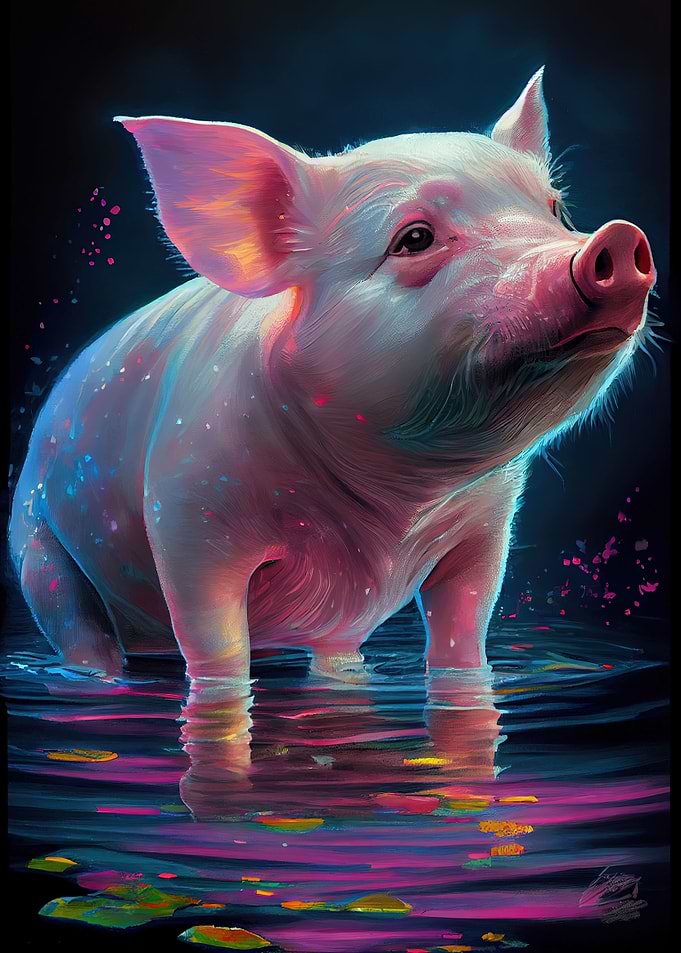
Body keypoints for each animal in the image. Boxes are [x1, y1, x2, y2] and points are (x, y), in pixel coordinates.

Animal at [9, 69, 656, 691]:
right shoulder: (185, 511)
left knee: (337, 657)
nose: (619, 236)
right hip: (38, 553)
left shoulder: (487, 526)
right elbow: (215, 649)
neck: (393, 509)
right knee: (83, 637)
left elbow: (464, 635)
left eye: (556, 210)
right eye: (414, 238)